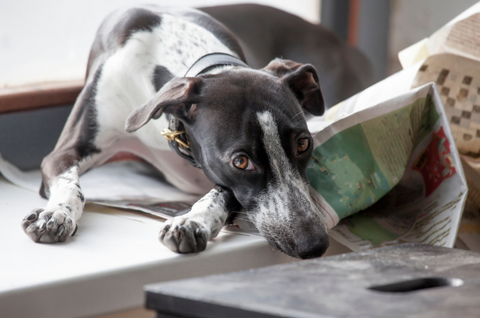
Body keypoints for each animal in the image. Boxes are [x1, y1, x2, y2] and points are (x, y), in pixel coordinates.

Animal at [20, 4, 374, 258]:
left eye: (303, 144)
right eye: (241, 161)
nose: (314, 245)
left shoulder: (219, 178)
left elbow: (221, 194)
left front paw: (191, 221)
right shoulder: (65, 151)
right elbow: (70, 185)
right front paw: (55, 214)